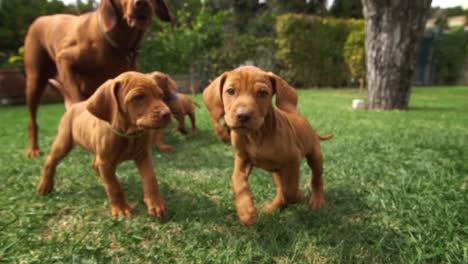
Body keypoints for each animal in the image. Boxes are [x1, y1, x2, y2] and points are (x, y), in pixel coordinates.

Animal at [24, 0, 174, 157]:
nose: (142, 3)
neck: (118, 43)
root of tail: (39, 18)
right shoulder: (64, 59)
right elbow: (76, 98)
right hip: (35, 81)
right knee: (32, 120)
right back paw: (33, 149)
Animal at [36, 71, 172, 217]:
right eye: (138, 97)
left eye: (160, 95)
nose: (167, 113)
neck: (128, 134)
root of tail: (74, 105)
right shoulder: (106, 162)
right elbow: (113, 187)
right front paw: (121, 208)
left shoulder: (143, 156)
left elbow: (150, 179)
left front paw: (156, 203)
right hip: (63, 143)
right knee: (51, 161)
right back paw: (45, 185)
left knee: (95, 165)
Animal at [205, 66, 332, 225]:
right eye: (230, 91)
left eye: (262, 93)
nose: (243, 115)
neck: (256, 134)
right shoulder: (242, 159)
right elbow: (237, 181)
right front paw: (246, 211)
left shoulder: (293, 160)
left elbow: (290, 191)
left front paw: (299, 195)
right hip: (277, 171)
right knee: (280, 188)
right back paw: (274, 207)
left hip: (314, 156)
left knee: (316, 179)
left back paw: (317, 200)